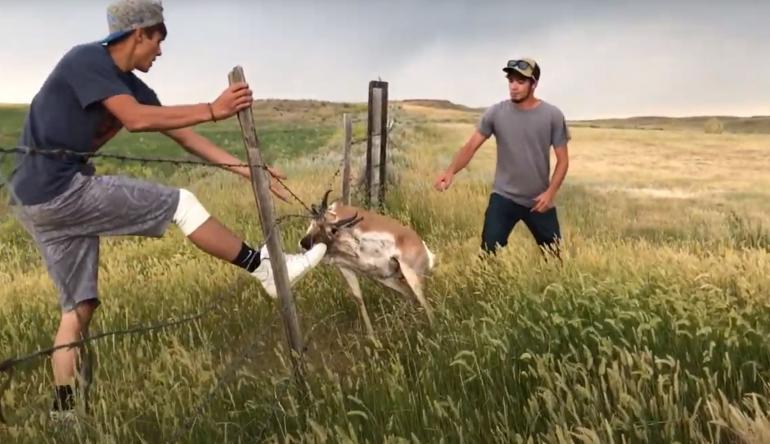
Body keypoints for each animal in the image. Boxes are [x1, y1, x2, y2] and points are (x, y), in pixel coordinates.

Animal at [299, 191, 436, 338]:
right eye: (314, 221)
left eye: (332, 229)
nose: (304, 243)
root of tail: (422, 246)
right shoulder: (345, 267)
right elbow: (359, 299)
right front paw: (371, 336)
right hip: (387, 278)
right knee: (410, 295)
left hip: (411, 276)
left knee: (425, 303)